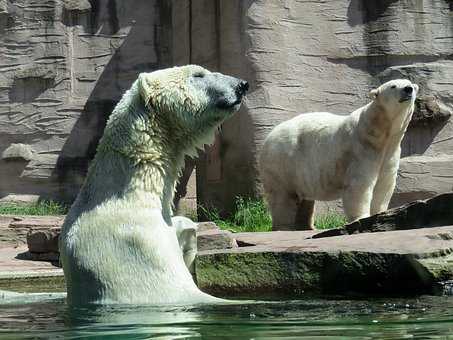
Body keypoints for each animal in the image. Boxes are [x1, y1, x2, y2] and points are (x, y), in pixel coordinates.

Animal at [260, 79, 418, 231]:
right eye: (393, 86)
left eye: (409, 83)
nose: (408, 89)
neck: (379, 132)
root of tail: (269, 136)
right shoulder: (361, 150)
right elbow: (359, 185)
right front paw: (361, 218)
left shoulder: (390, 152)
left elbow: (384, 185)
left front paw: (380, 215)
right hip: (282, 162)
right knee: (282, 196)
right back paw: (284, 226)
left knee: (305, 199)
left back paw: (306, 226)